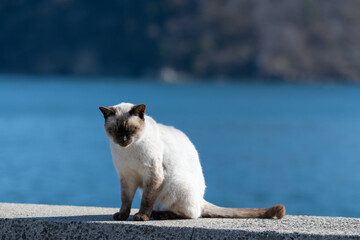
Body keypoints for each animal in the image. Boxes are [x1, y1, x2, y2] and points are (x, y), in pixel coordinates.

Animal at [100, 102, 286, 220]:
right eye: (115, 131)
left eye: (131, 130)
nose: (123, 139)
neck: (128, 151)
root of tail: (201, 198)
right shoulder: (127, 177)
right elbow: (125, 200)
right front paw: (122, 216)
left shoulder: (153, 176)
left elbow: (146, 201)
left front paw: (141, 217)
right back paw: (156, 213)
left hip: (175, 184)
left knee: (192, 214)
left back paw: (160, 215)